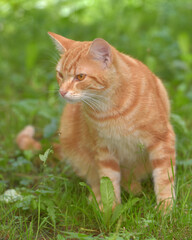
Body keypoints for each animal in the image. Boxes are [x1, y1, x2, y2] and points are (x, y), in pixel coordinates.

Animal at [48, 32, 176, 210]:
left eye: (80, 77)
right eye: (60, 74)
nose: (62, 91)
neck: (110, 110)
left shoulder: (162, 139)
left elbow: (164, 179)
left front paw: (166, 210)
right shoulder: (104, 150)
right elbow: (109, 181)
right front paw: (111, 210)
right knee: (97, 181)